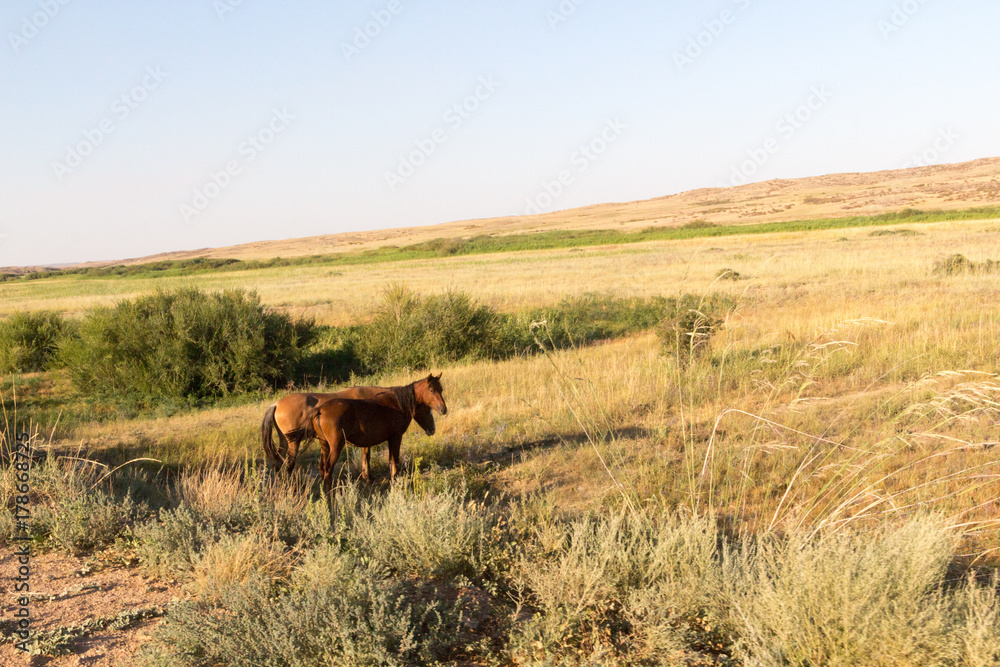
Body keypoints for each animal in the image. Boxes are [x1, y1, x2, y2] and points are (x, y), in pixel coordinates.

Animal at [260, 376, 448, 480]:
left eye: (441, 389)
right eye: (432, 391)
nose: (443, 410)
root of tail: (276, 404)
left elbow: (367, 455)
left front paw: (367, 477)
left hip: (286, 442)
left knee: (278, 464)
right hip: (294, 444)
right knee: (289, 465)